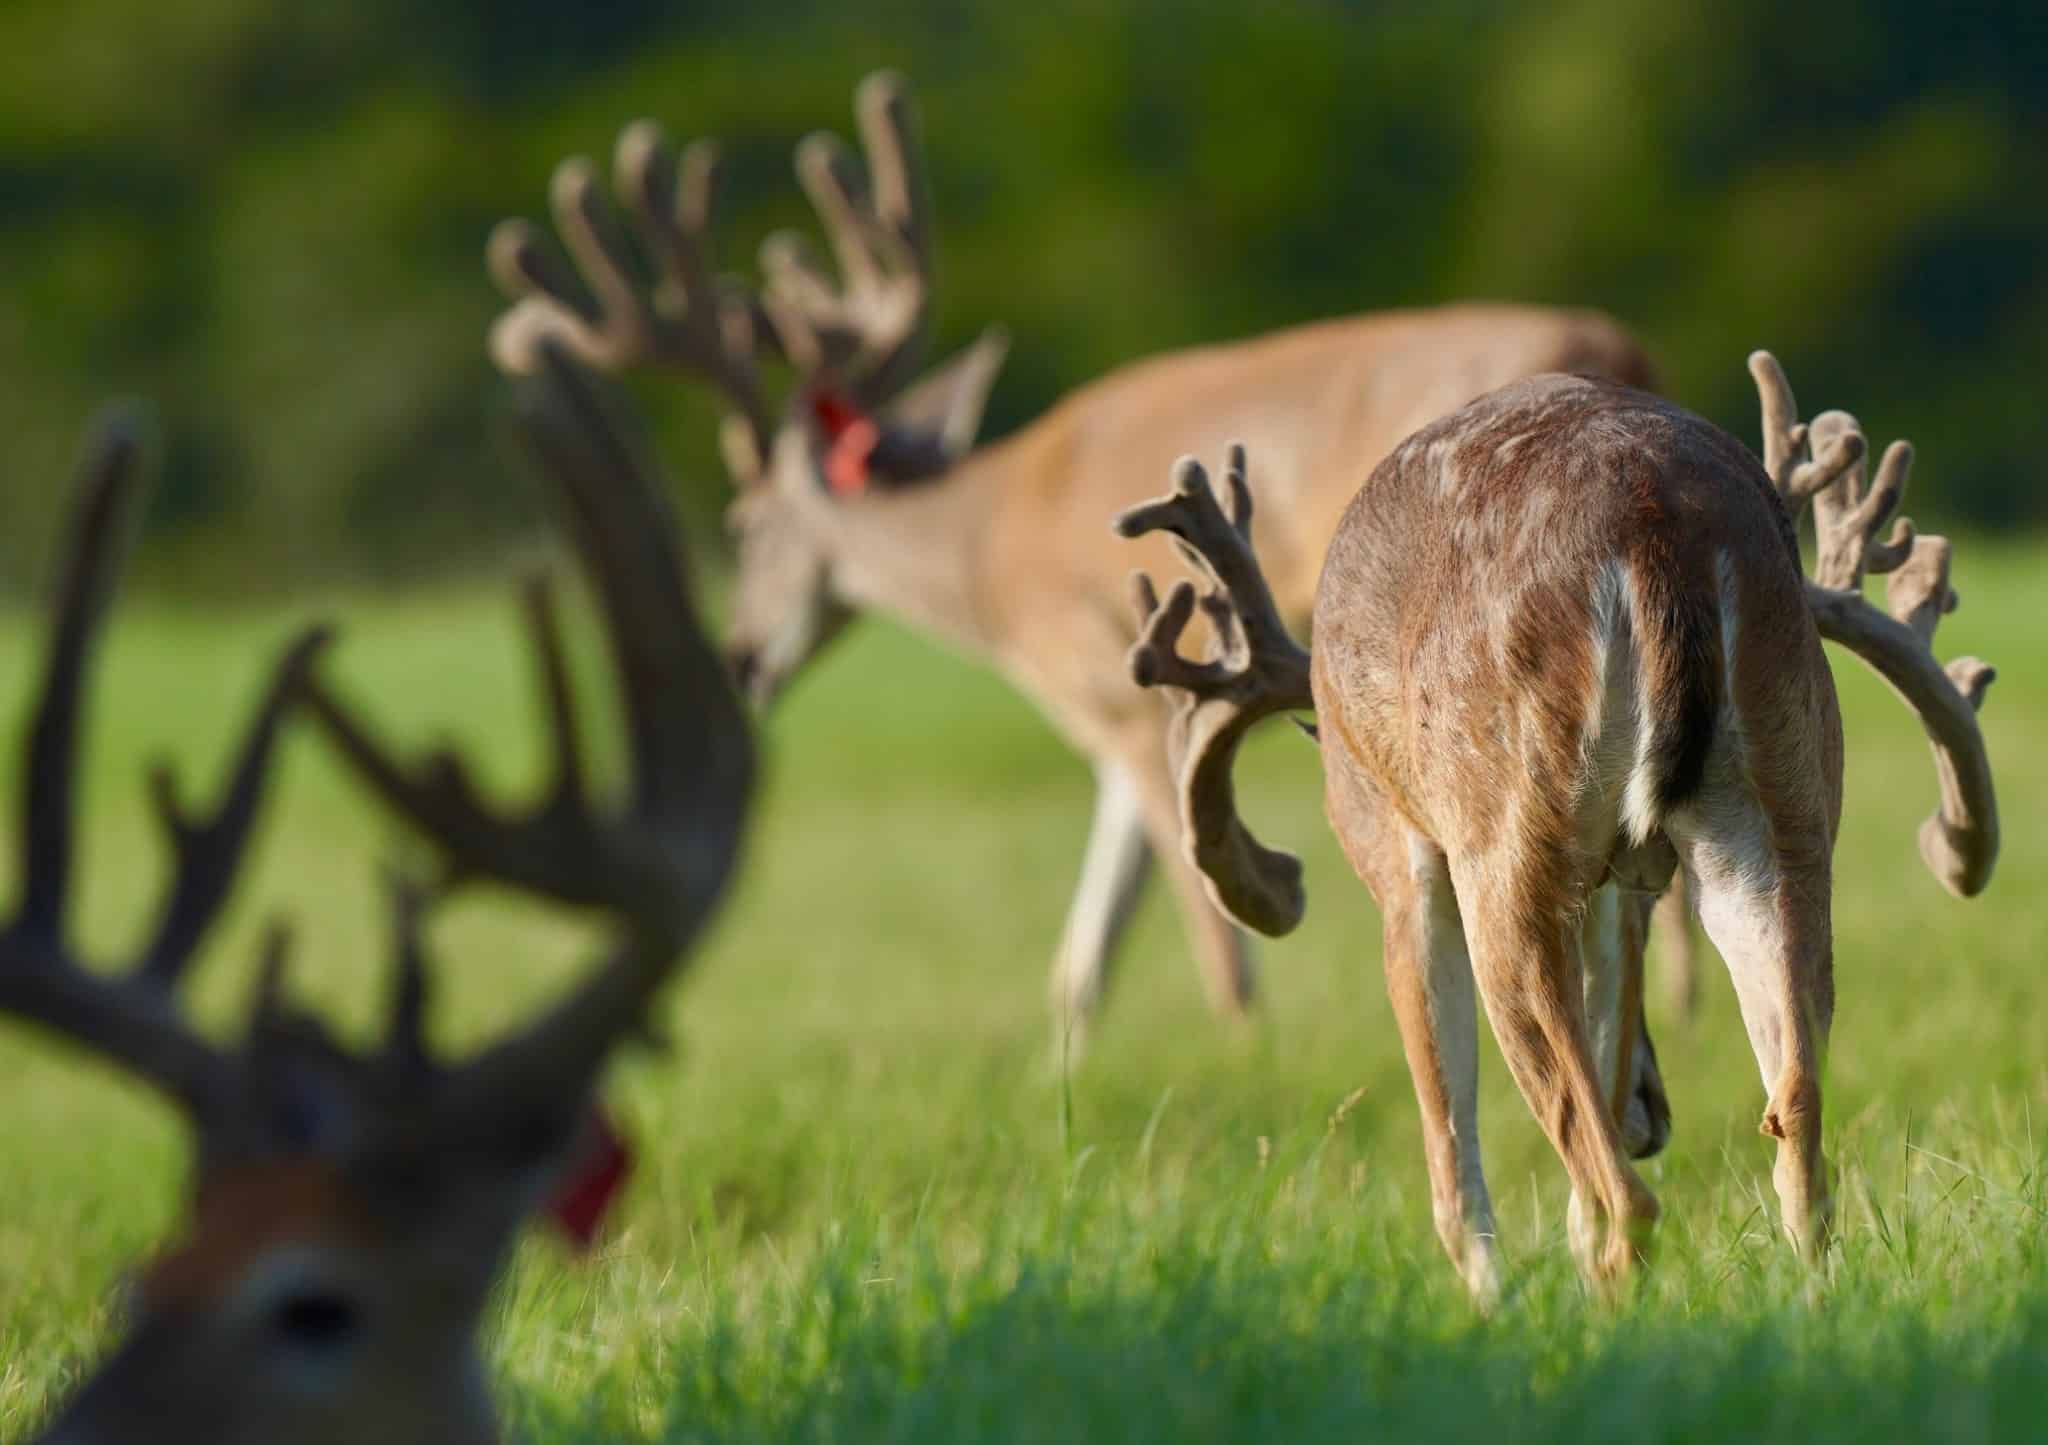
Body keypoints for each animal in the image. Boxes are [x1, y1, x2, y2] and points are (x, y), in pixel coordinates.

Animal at [480, 69, 1692, 1061]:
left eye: (740, 520)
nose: (738, 655)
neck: (984, 549)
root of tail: (1621, 352)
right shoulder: (1137, 713)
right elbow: (1083, 949)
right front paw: (1064, 1083)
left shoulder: (1113, 689)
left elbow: (1209, 931)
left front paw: (1240, 1052)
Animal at [1115, 352, 1997, 1301]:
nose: (1655, 1115)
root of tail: (1660, 531)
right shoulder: (1622, 886)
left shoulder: (1395, 846)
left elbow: (1452, 1165)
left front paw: (1489, 1309)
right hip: (1782, 801)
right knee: (1795, 1129)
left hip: (1502, 835)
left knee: (1619, 1196)